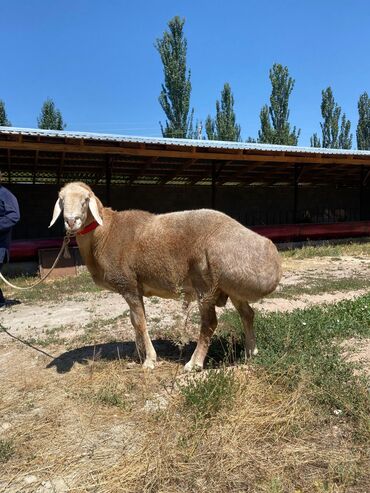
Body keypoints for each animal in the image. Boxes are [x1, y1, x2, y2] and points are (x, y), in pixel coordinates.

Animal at [48, 181, 280, 368]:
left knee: (209, 324)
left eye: (86, 200)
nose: (71, 221)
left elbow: (140, 322)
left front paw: (149, 360)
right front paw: (138, 354)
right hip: (232, 288)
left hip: (205, 286)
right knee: (247, 314)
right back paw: (251, 352)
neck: (105, 233)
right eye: (61, 199)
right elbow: (134, 321)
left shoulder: (128, 285)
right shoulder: (133, 288)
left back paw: (194, 363)